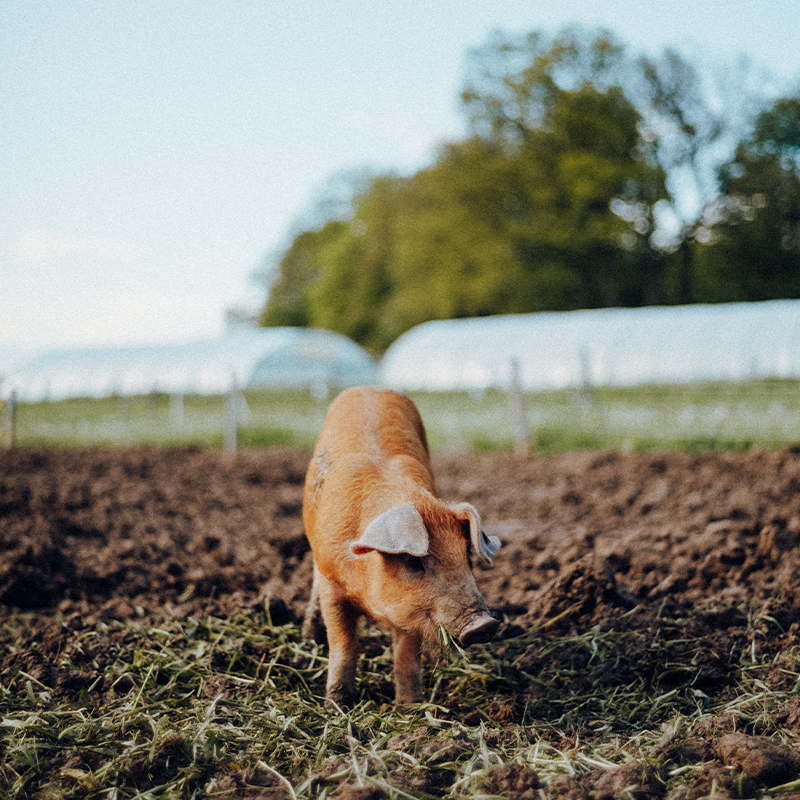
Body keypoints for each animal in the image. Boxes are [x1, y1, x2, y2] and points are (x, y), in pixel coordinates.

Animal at [302, 388, 500, 708]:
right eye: (413, 562)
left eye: (468, 561)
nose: (484, 625)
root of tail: (371, 388)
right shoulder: (332, 585)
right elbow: (344, 646)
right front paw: (336, 706)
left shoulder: (415, 612)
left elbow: (406, 656)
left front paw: (410, 707)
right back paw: (308, 637)